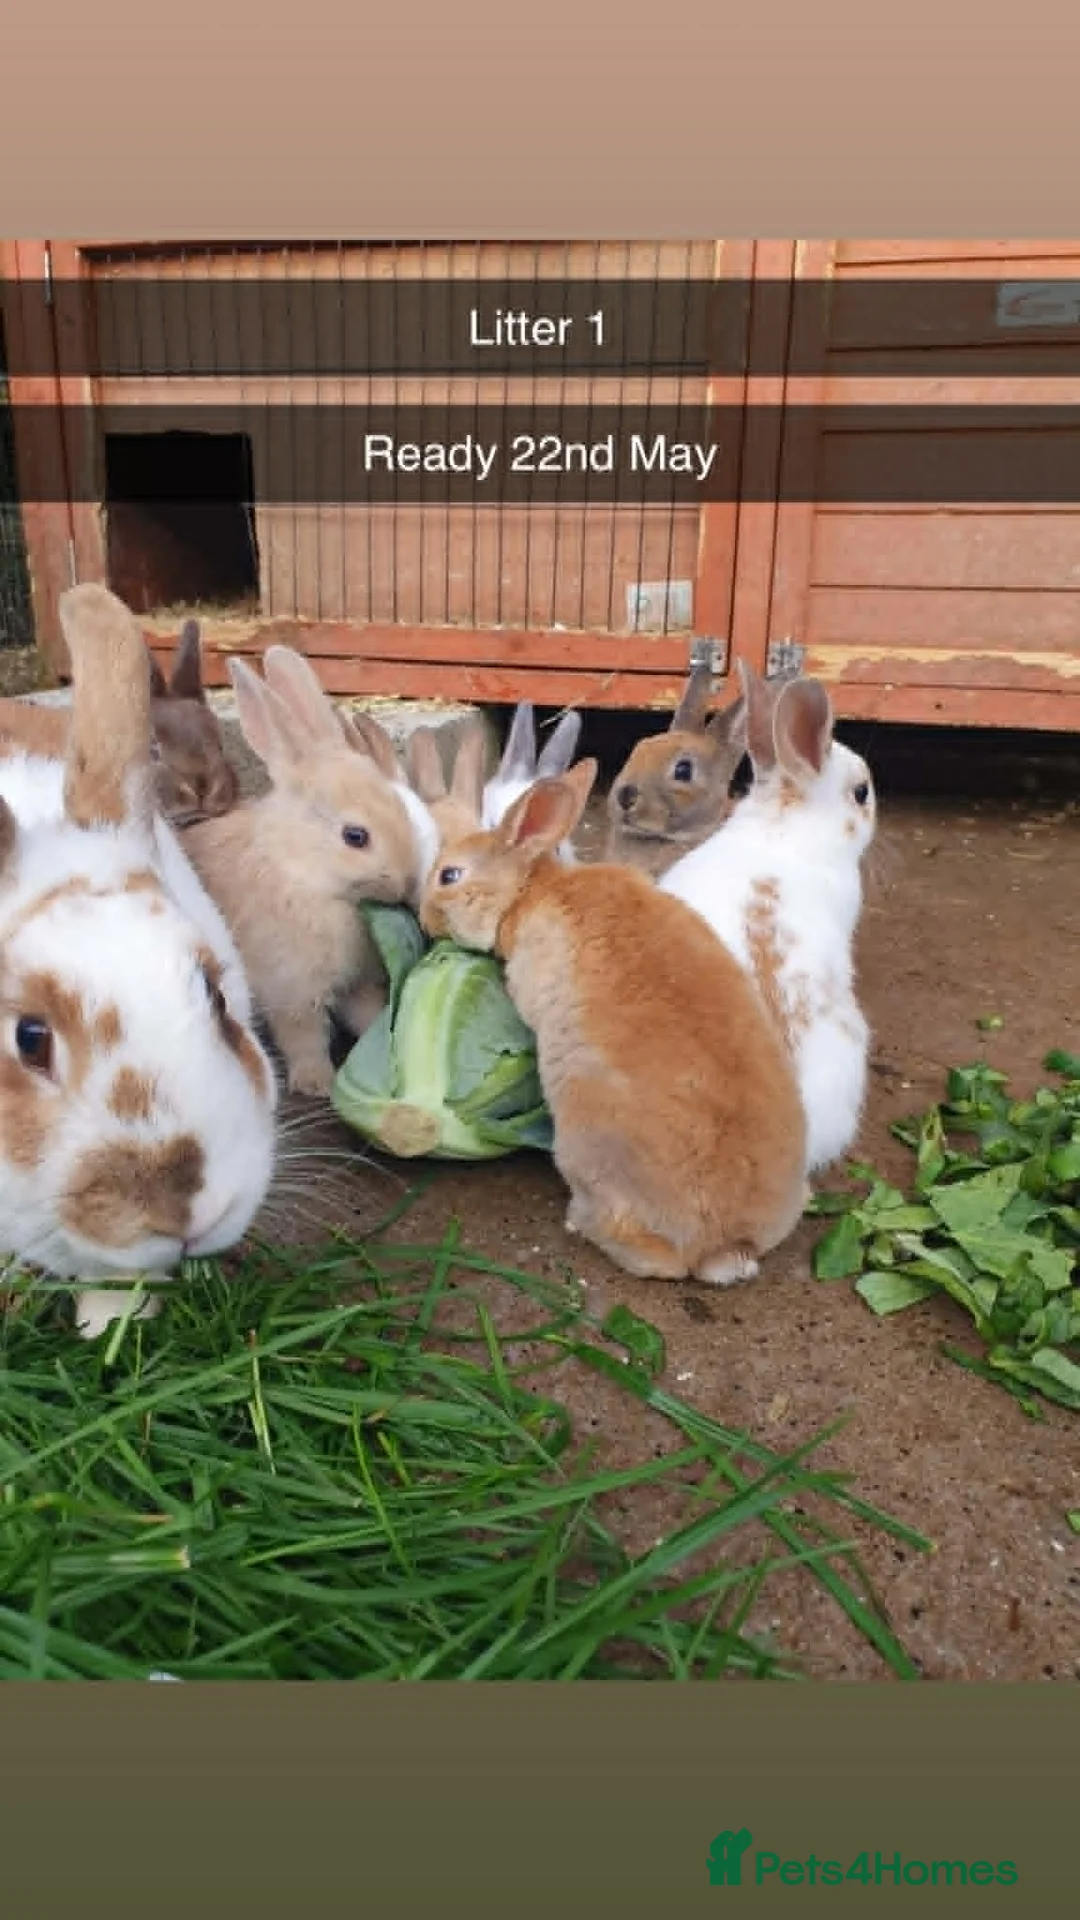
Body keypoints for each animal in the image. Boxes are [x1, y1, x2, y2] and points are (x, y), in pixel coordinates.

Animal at [180, 646, 440, 1098]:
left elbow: (365, 1013)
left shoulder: (355, 983)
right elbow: (302, 1036)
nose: (408, 881)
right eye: (355, 836)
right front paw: (316, 1082)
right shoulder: (292, 990)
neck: (302, 871)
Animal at [419, 761, 807, 1285]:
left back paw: (580, 1224)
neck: (531, 892)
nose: (424, 919)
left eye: (449, 875)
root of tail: (723, 1245)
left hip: (586, 1151)